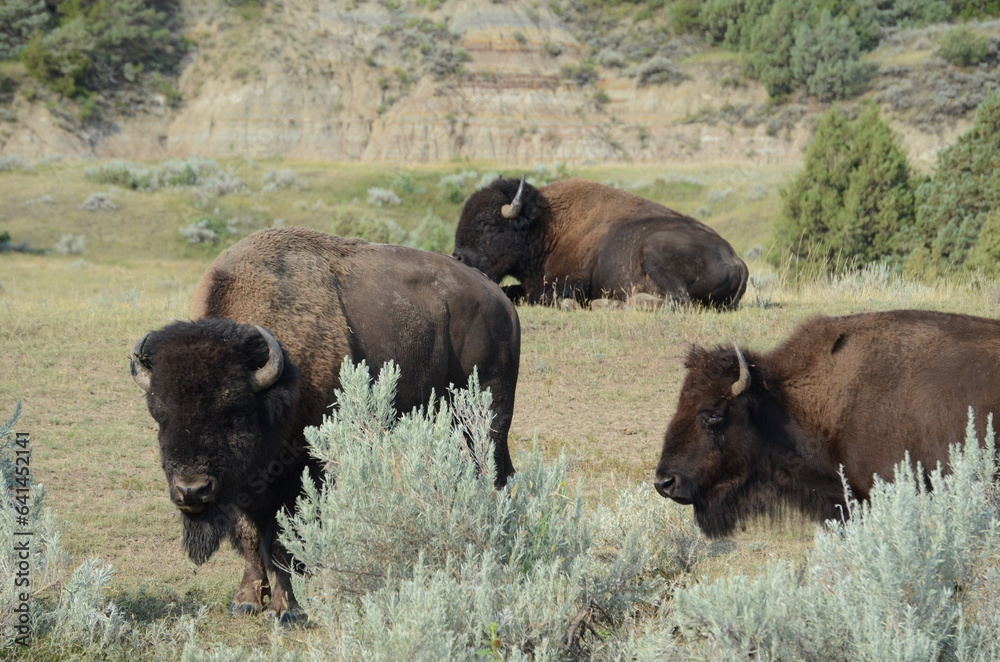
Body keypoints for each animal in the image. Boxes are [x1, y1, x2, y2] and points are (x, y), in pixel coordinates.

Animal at [129, 227, 520, 624]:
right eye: (159, 415)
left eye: (235, 412)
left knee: (494, 473)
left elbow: (283, 537)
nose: (192, 490)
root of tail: (499, 299)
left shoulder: (300, 471)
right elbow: (250, 535)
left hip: (487, 416)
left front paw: (286, 609)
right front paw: (246, 600)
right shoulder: (240, 484)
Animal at [458, 176, 748, 312]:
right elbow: (512, 291)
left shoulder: (568, 284)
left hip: (655, 249)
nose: (458, 258)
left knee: (678, 300)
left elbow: (541, 297)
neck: (548, 226)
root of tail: (737, 261)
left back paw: (614, 304)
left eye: (486, 224)